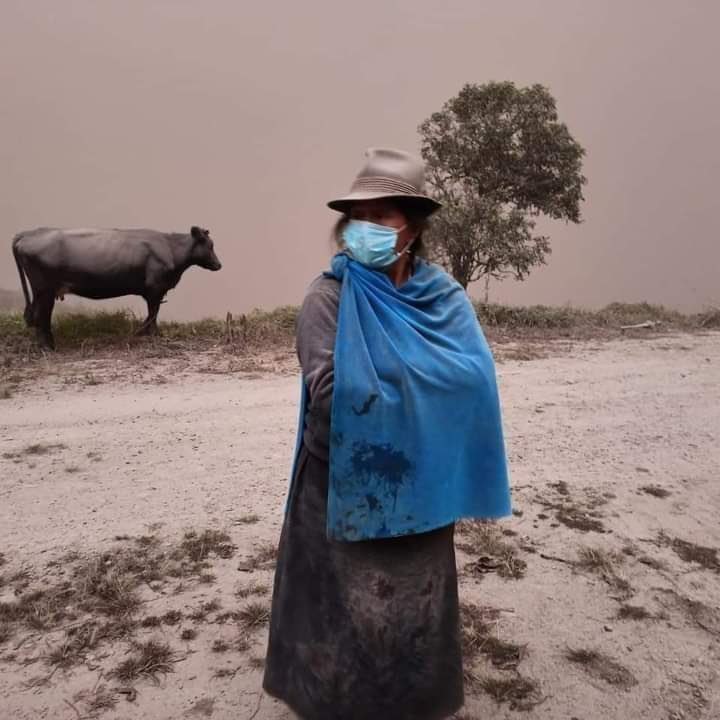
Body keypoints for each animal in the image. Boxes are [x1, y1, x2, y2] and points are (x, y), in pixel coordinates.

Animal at [10, 225, 219, 348]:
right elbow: (153, 313)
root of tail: (27, 234)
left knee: (38, 315)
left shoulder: (154, 291)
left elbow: (152, 313)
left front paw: (144, 333)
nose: (219, 265)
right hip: (44, 289)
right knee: (41, 315)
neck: (170, 248)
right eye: (209, 245)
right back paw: (48, 347)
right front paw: (151, 334)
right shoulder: (155, 288)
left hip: (40, 291)